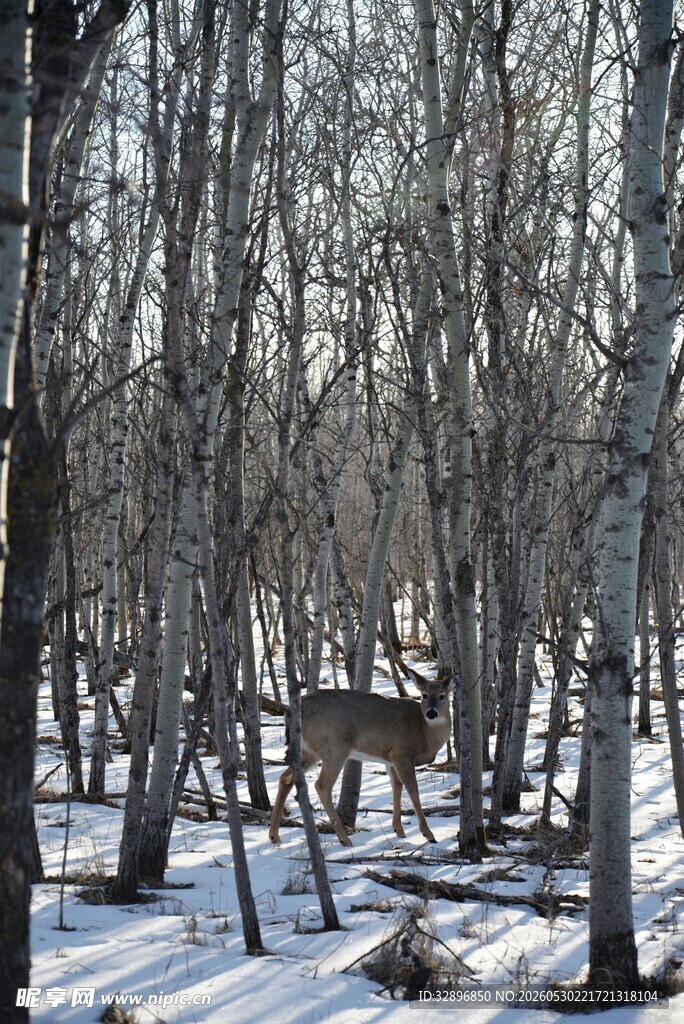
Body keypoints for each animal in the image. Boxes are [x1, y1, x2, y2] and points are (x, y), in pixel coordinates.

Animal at [268, 673, 453, 847]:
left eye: (442, 695)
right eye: (424, 695)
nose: (431, 713)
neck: (424, 733)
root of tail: (291, 712)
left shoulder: (390, 759)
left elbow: (396, 787)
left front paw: (398, 830)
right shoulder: (401, 753)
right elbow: (412, 789)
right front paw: (428, 834)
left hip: (309, 751)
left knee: (285, 778)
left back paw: (274, 835)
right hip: (335, 747)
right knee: (322, 785)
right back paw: (344, 839)